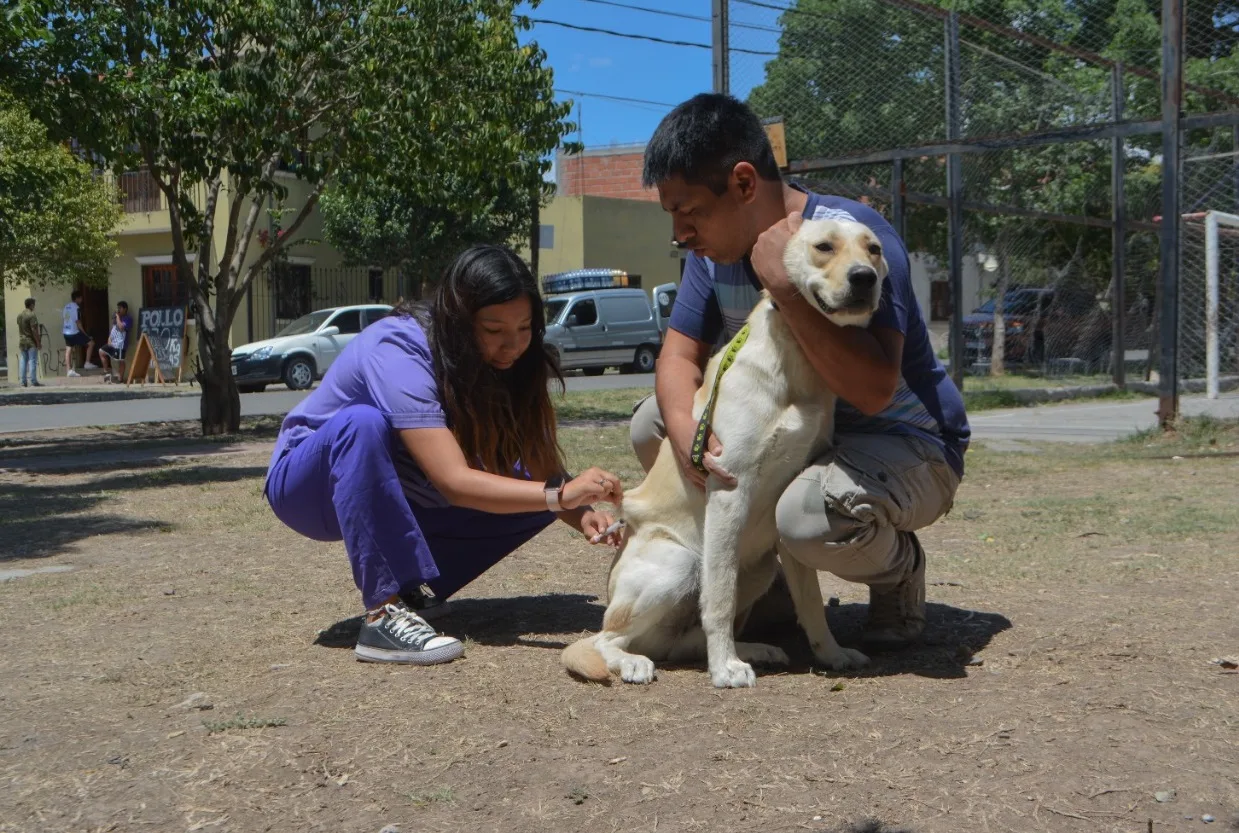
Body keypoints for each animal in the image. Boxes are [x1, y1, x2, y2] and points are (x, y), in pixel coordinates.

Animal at [567, 216, 887, 689]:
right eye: (824, 247)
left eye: (874, 249)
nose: (864, 278)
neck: (795, 355)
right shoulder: (729, 490)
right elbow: (718, 599)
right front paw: (724, 669)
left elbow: (811, 601)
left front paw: (831, 654)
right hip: (681, 562)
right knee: (605, 639)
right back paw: (633, 662)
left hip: (759, 567)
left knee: (679, 643)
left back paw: (753, 648)